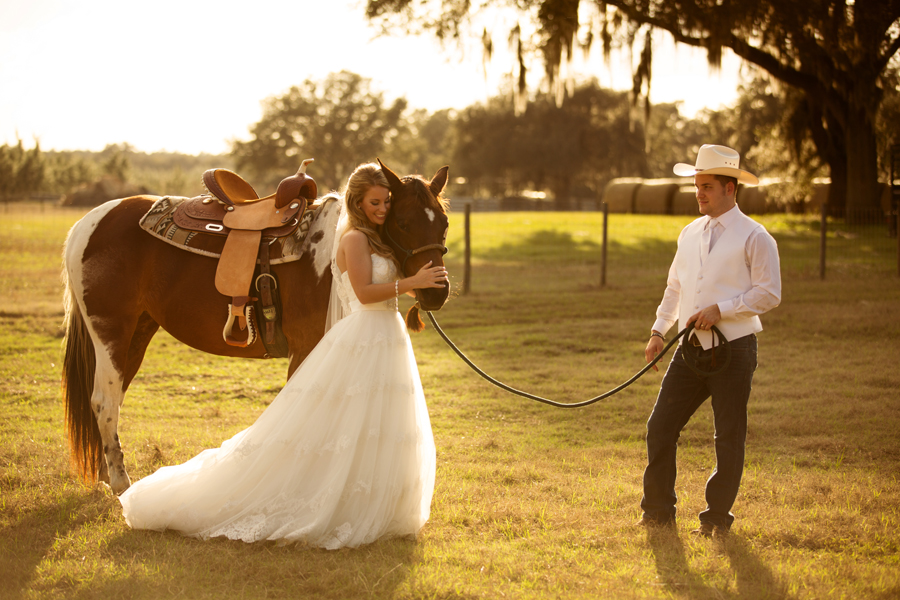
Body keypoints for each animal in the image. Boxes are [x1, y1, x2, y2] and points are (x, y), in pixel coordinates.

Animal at [62, 158, 450, 492]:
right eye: (402, 222)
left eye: (443, 223)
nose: (437, 291)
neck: (331, 248)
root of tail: (89, 222)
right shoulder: (305, 348)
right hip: (111, 331)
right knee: (104, 401)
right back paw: (120, 483)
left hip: (138, 332)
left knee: (112, 400)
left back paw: (105, 475)